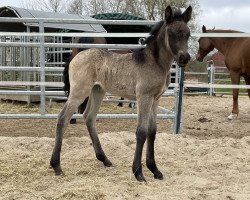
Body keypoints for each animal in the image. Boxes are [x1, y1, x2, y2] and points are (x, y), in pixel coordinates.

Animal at [50, 5, 191, 182]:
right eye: (171, 33)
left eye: (188, 34)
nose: (185, 58)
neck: (154, 62)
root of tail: (75, 56)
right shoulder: (144, 97)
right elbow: (141, 131)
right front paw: (138, 173)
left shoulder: (155, 99)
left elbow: (152, 131)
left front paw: (155, 170)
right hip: (79, 91)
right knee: (63, 118)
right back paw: (56, 166)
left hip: (97, 91)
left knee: (89, 117)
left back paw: (104, 159)